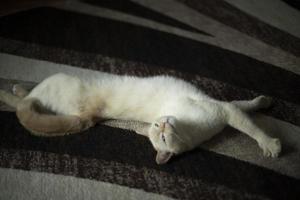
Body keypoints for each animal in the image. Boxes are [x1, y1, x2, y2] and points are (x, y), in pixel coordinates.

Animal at [0, 72, 282, 163]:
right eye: (160, 133)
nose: (164, 123)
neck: (192, 131)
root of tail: (88, 116)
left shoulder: (225, 110)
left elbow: (246, 106)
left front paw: (264, 102)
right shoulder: (224, 111)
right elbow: (252, 127)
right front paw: (271, 145)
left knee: (23, 99)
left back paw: (16, 88)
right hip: (56, 80)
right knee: (24, 100)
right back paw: (13, 89)